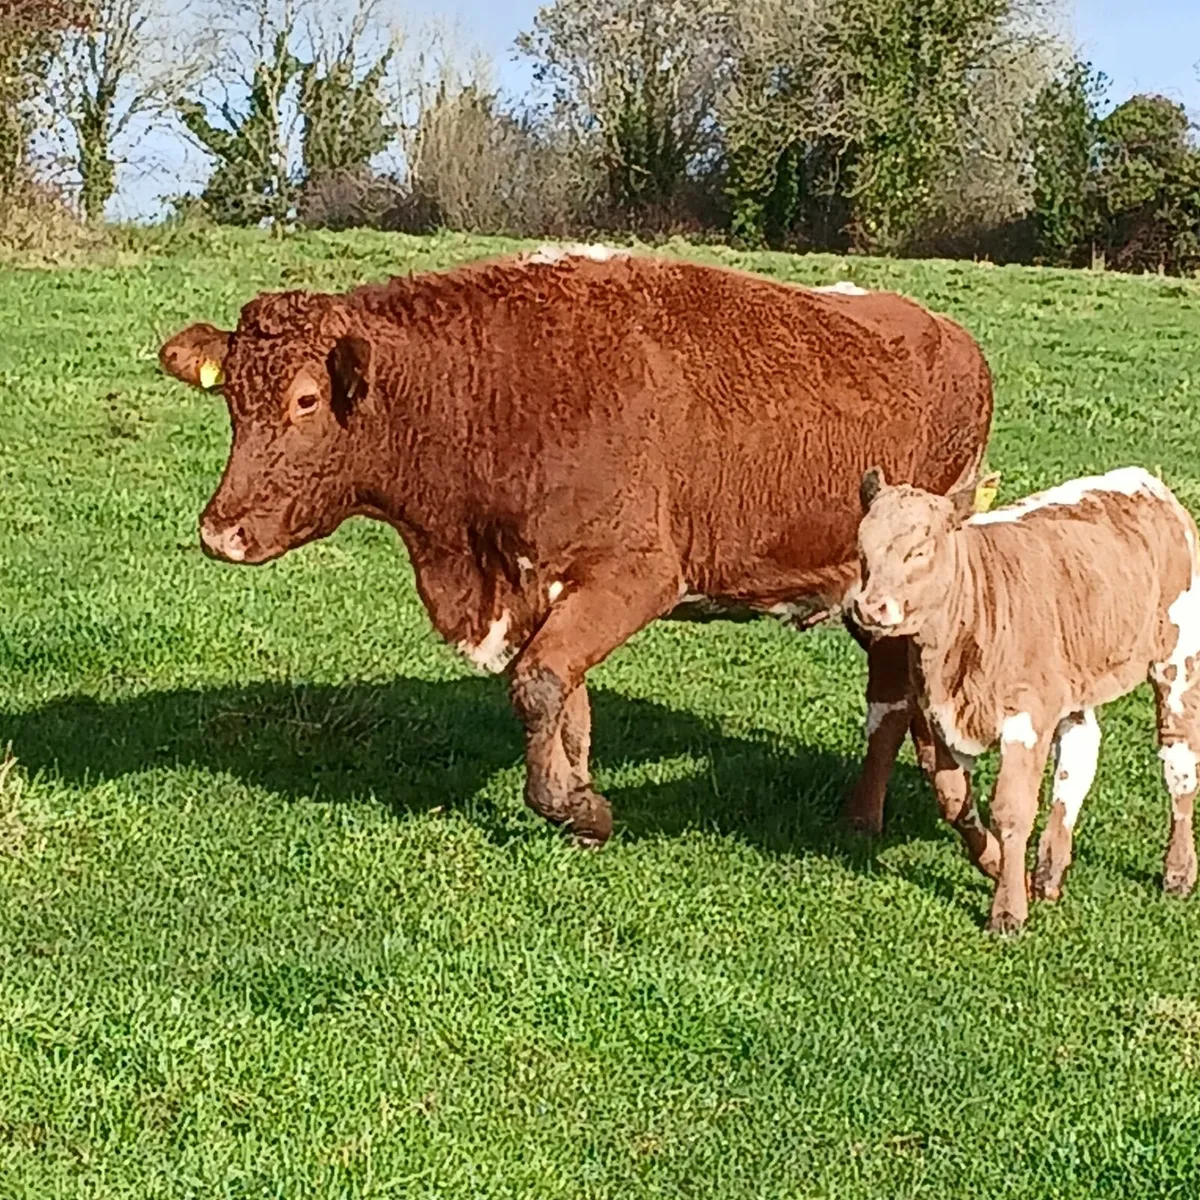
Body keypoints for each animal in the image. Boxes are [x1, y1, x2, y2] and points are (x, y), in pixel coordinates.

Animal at [159, 245, 993, 847]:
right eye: (231, 397)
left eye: (305, 400)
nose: (220, 531)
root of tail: (947, 333)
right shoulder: (544, 586)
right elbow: (563, 697)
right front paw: (580, 794)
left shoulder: (638, 573)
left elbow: (537, 685)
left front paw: (576, 807)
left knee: (890, 698)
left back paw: (861, 819)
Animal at [852, 464, 1200, 933]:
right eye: (862, 546)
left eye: (919, 550)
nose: (870, 608)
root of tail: (1144, 481)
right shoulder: (940, 713)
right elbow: (952, 798)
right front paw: (995, 862)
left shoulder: (1026, 715)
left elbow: (1011, 810)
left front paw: (1008, 911)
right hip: (1073, 678)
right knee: (1080, 752)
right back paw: (1049, 871)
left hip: (1177, 657)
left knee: (1178, 759)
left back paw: (1178, 870)